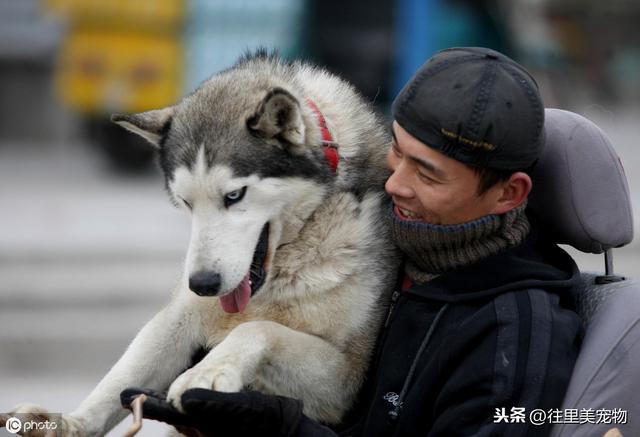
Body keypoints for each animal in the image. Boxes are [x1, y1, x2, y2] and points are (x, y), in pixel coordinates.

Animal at [2, 52, 398, 436]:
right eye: (185, 202)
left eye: (234, 195)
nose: (203, 284)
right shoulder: (180, 316)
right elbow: (122, 376)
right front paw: (71, 423)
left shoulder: (346, 381)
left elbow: (258, 328)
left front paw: (207, 371)